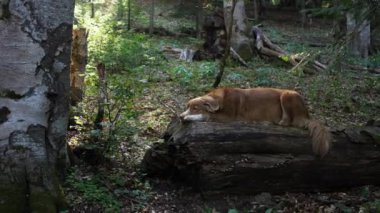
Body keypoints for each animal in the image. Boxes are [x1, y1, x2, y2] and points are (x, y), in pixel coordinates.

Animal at [180, 87, 332, 157]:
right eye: (187, 107)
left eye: (195, 108)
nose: (181, 116)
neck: (222, 101)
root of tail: (307, 114)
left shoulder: (229, 118)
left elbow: (207, 116)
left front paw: (189, 118)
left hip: (287, 94)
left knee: (290, 122)